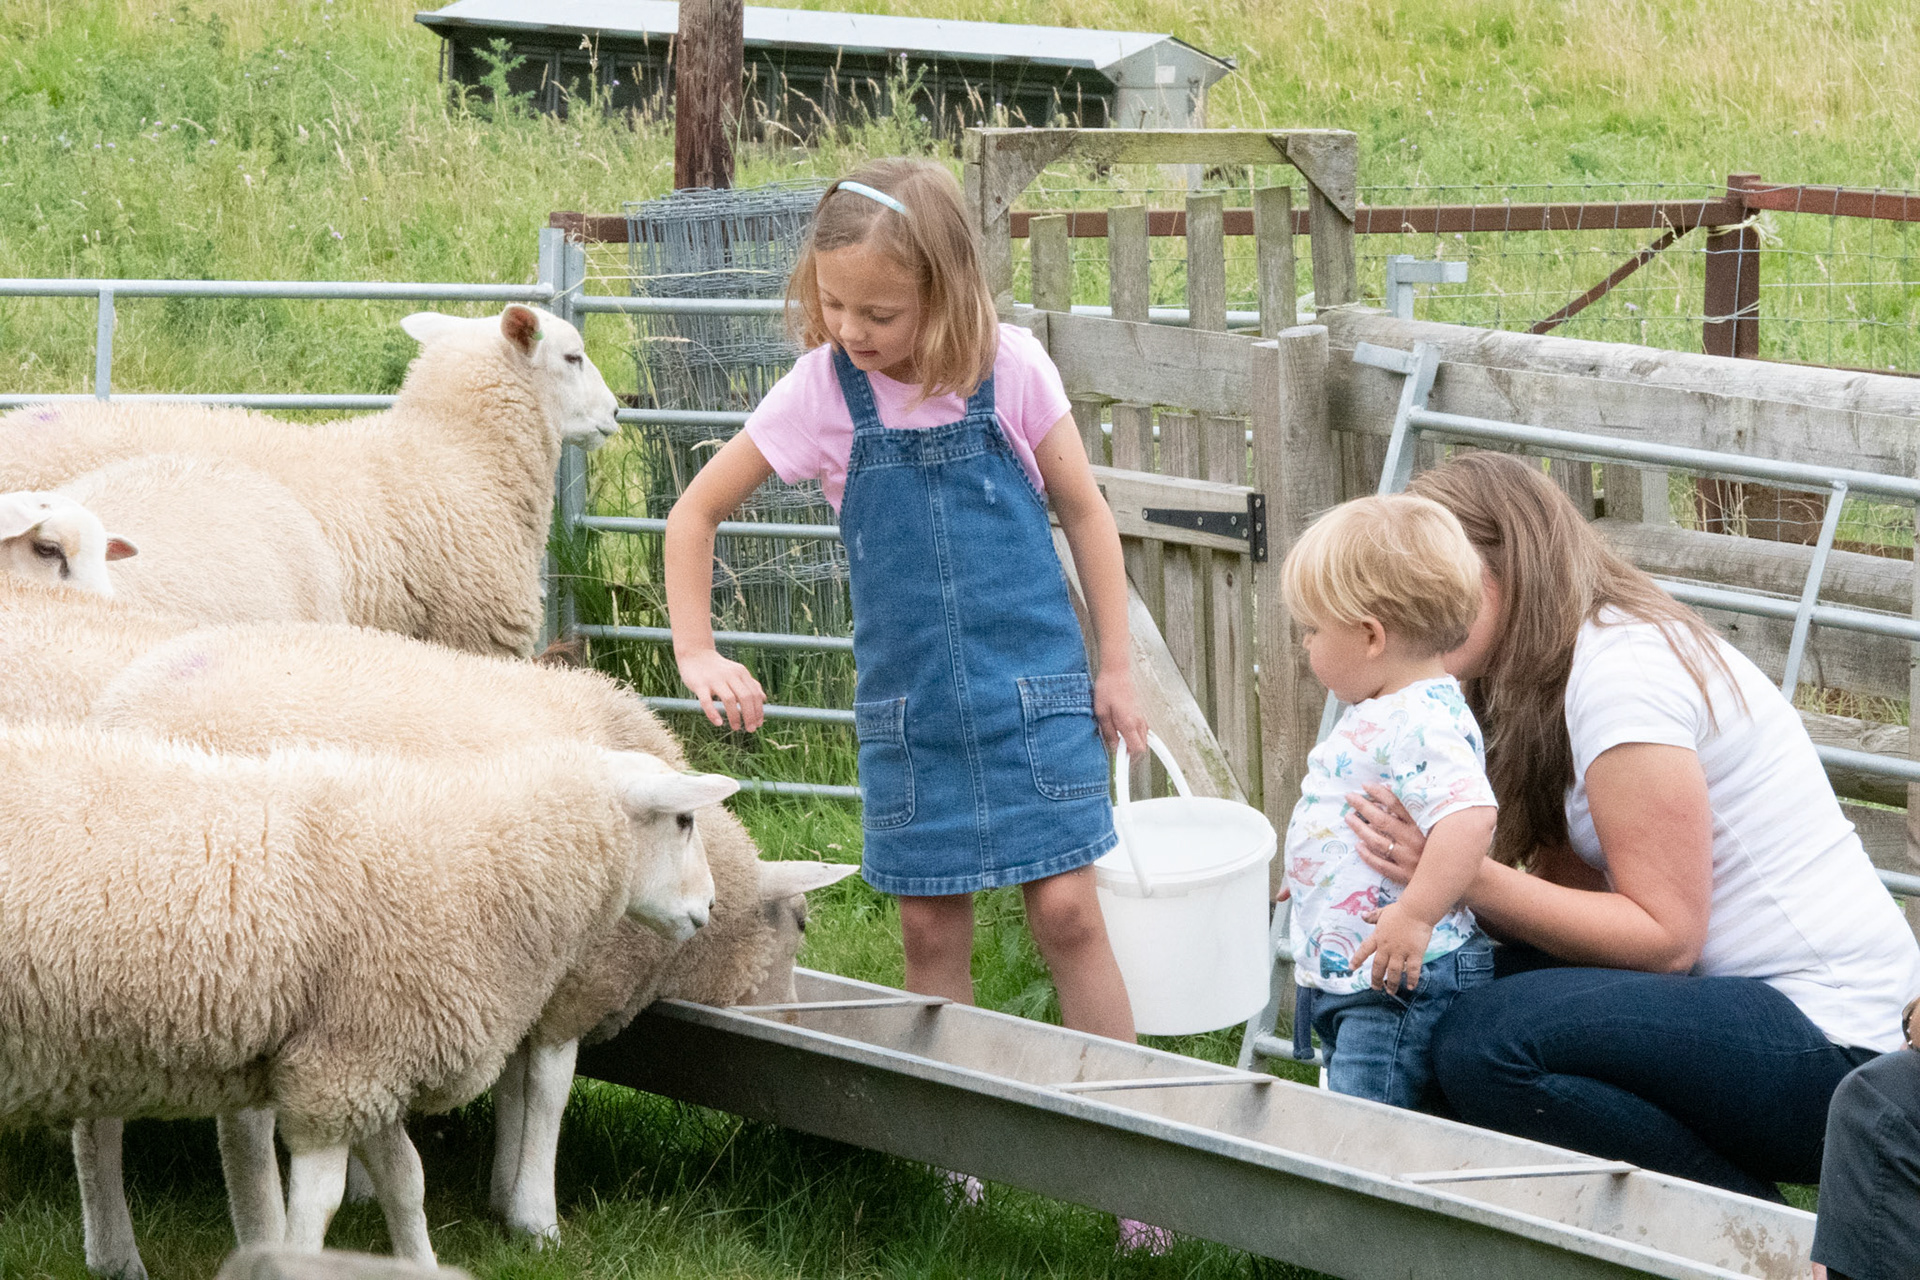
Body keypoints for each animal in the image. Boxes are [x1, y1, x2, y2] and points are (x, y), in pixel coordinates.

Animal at [0, 722, 734, 1268]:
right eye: (684, 821)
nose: (707, 910)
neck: (476, 868)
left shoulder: (381, 1060)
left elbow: (406, 1181)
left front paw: (422, 1263)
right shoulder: (340, 1069)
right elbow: (320, 1204)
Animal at [86, 621, 857, 1249]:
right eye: (802, 924)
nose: (795, 1020)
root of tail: (122, 705)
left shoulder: (514, 972)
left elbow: (512, 1086)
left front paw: (496, 1190)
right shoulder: (574, 979)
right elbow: (547, 1092)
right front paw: (535, 1216)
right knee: (236, 1125)